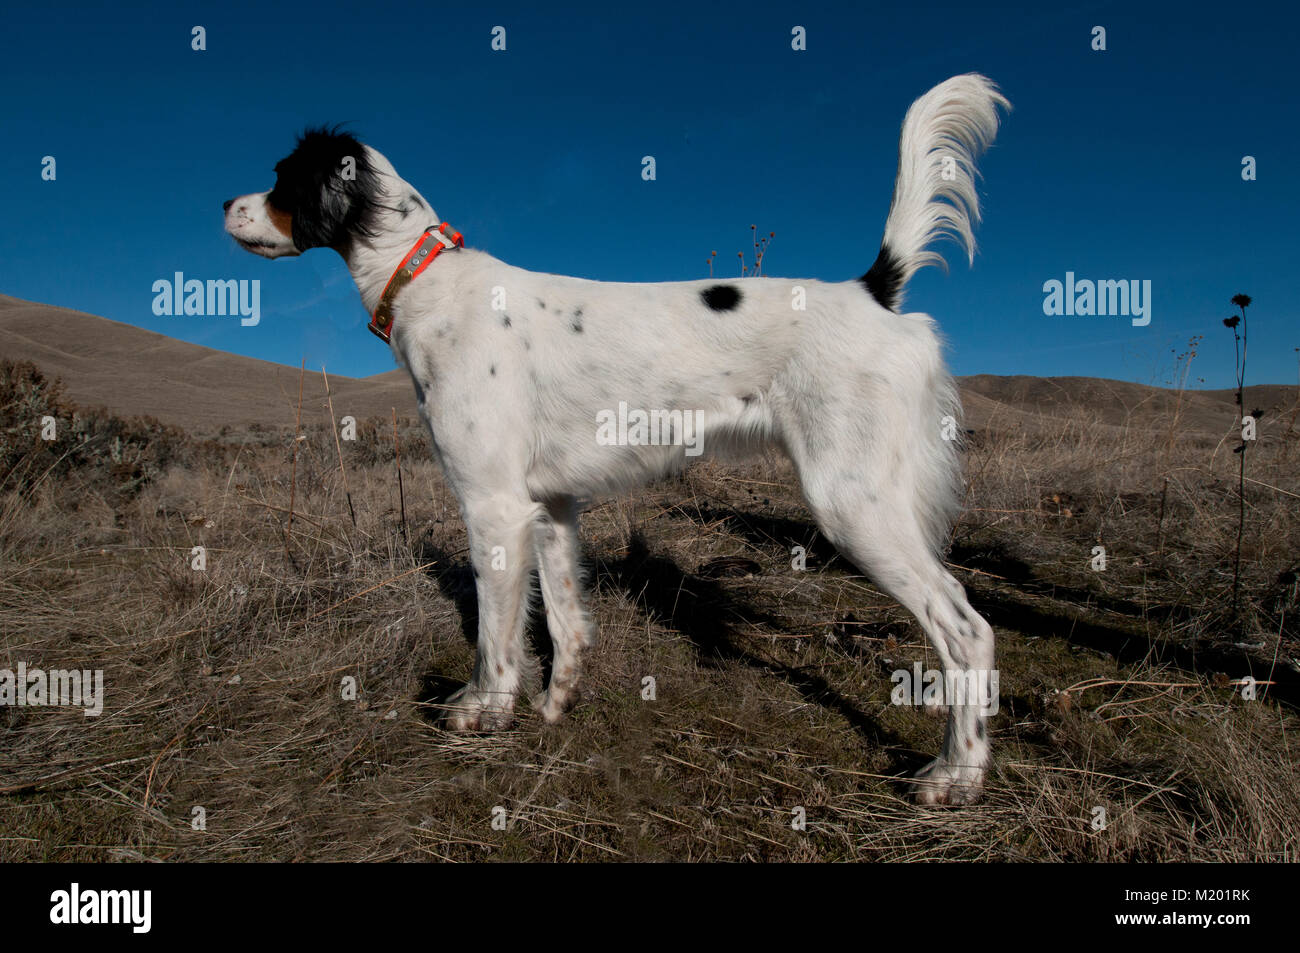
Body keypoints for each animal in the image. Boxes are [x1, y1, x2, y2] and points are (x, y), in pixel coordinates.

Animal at [228, 74, 1008, 800]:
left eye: (280, 177)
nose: (224, 206)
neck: (426, 282)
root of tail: (872, 291)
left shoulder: (492, 505)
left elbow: (493, 635)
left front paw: (483, 710)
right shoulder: (549, 505)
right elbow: (565, 620)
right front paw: (556, 701)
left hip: (853, 504)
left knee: (968, 628)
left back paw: (956, 773)